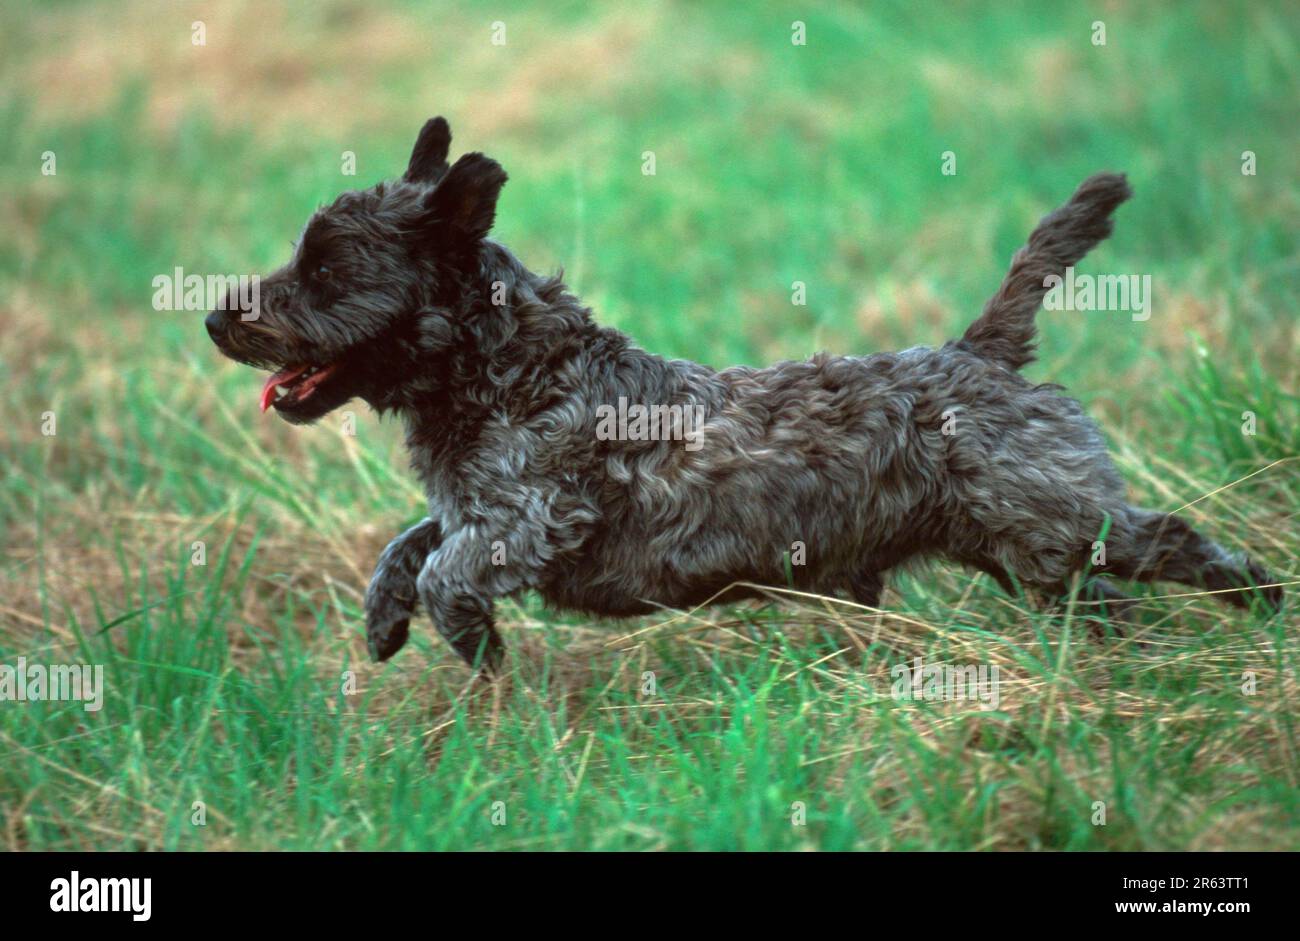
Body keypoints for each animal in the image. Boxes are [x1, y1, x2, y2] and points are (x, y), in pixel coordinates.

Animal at [208, 117, 1284, 670]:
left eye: (327, 267)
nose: (217, 318)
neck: (505, 366)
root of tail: (979, 355)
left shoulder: (529, 515)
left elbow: (445, 567)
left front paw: (472, 643)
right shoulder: (478, 507)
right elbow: (410, 541)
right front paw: (385, 620)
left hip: (1053, 519)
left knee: (1170, 541)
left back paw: (1260, 598)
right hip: (1029, 556)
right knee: (1107, 601)